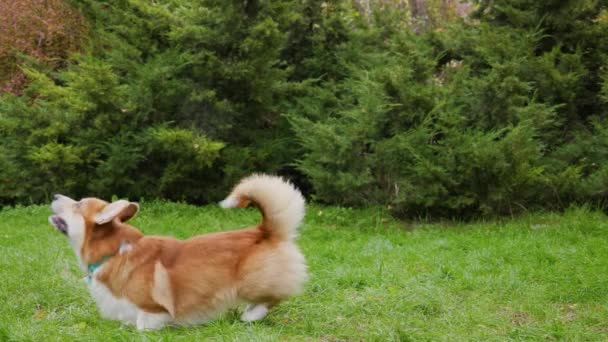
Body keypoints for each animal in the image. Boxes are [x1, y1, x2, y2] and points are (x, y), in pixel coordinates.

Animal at [48, 175, 308, 330]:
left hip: (251, 283)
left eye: (78, 204)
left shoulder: (152, 309)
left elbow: (144, 325)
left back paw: (250, 315)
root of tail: (265, 230)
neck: (114, 252)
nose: (54, 194)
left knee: (273, 298)